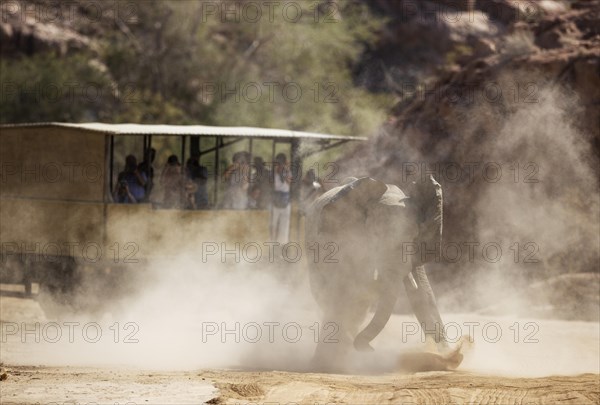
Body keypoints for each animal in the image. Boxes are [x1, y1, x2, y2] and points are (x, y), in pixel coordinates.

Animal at [304, 174, 450, 370]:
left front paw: (453, 358)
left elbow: (424, 294)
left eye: (413, 236)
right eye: (375, 235)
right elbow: (345, 289)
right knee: (329, 296)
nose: (368, 348)